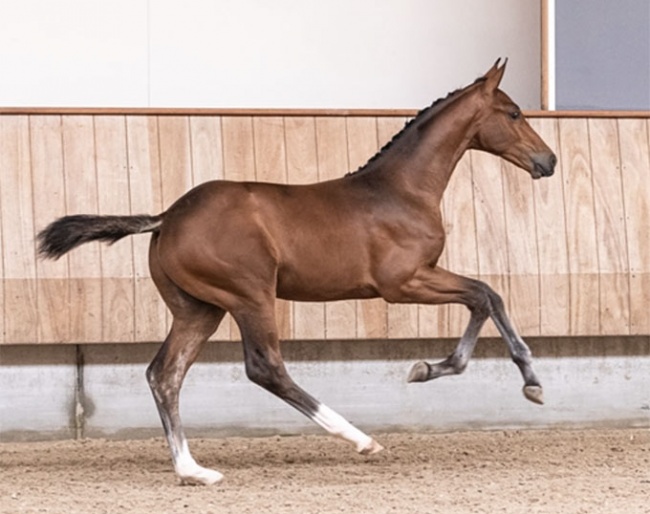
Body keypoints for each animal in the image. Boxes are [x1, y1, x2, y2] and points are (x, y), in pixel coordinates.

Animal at [36, 60, 552, 484]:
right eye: (513, 114)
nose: (548, 161)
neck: (400, 191)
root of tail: (167, 217)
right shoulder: (402, 282)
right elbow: (485, 294)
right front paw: (517, 379)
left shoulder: (420, 276)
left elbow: (486, 296)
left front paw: (461, 371)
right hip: (250, 296)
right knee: (265, 367)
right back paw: (359, 438)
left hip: (199, 309)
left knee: (165, 374)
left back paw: (194, 471)